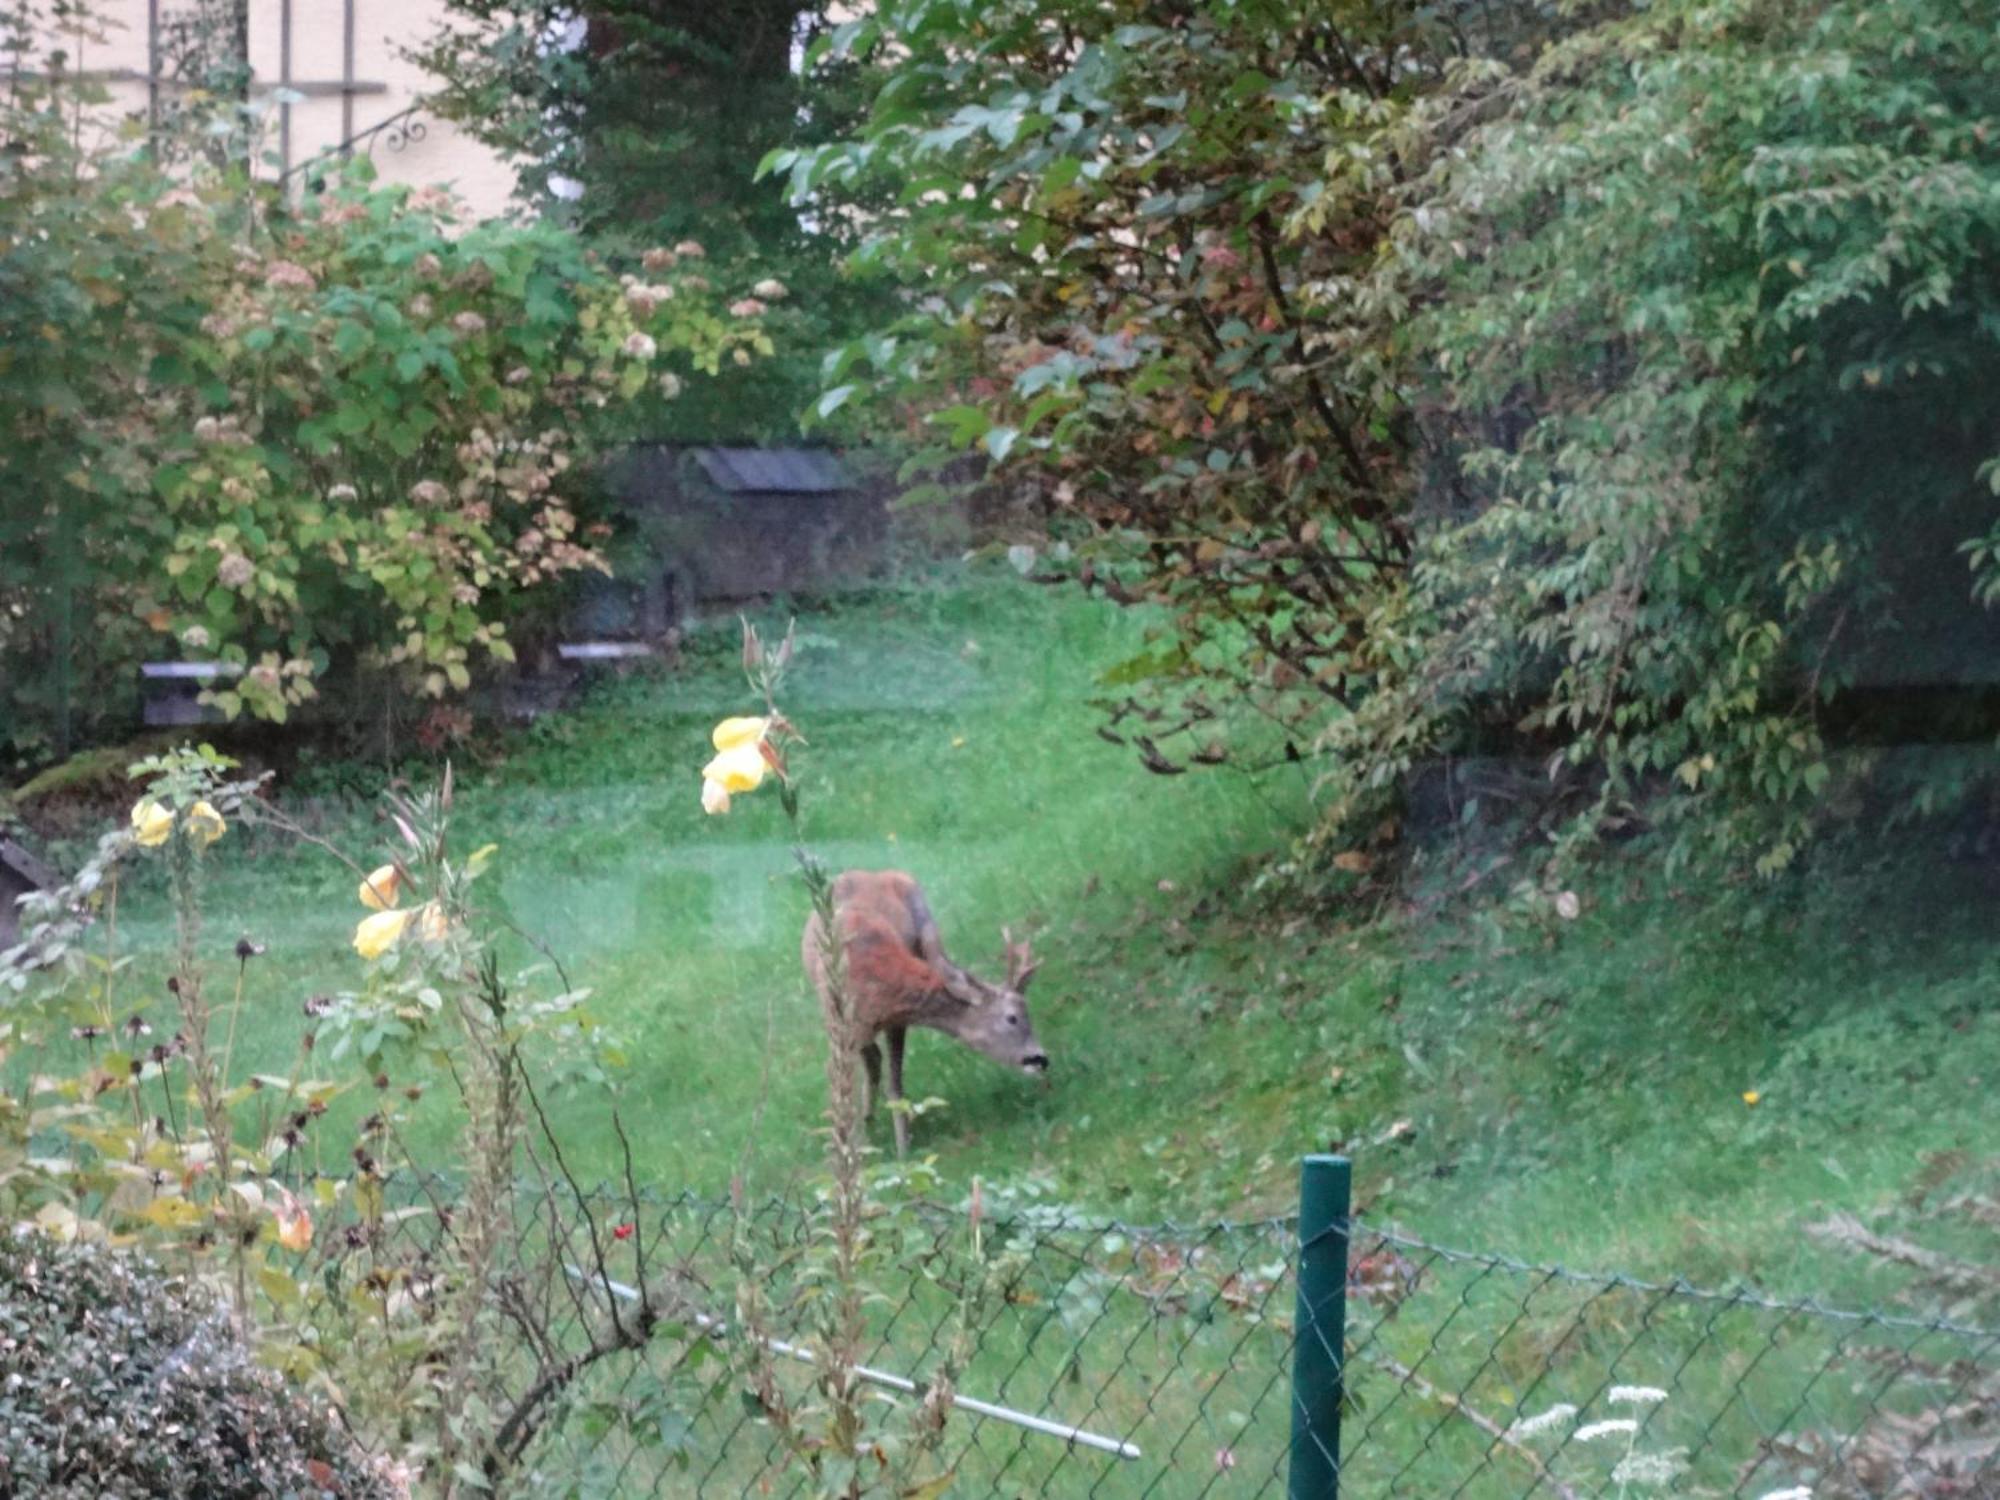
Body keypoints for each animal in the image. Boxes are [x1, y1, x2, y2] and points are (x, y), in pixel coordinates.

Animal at [800, 868, 1048, 1160]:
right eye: (1012, 1018)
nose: (1040, 1058)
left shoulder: (896, 1020)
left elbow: (895, 1086)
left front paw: (902, 1152)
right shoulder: (841, 1024)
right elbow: (843, 1090)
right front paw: (853, 1152)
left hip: (928, 930)